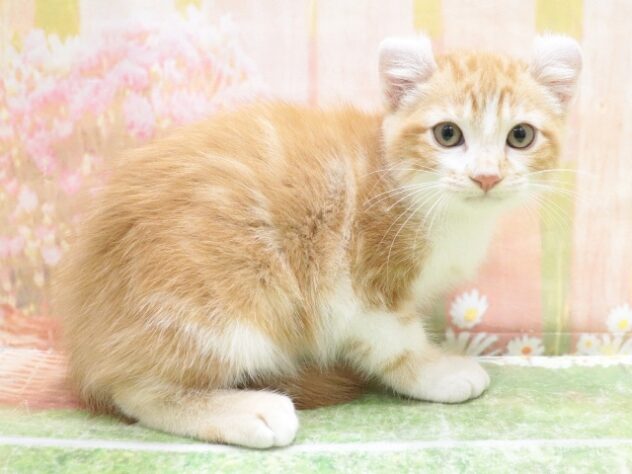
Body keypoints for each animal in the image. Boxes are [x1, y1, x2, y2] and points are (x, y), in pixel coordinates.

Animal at [55, 34, 581, 448]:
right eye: (448, 134)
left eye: (520, 136)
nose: (486, 176)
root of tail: (85, 340)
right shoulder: (358, 284)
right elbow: (395, 340)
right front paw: (435, 371)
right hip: (220, 298)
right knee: (134, 389)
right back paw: (244, 411)